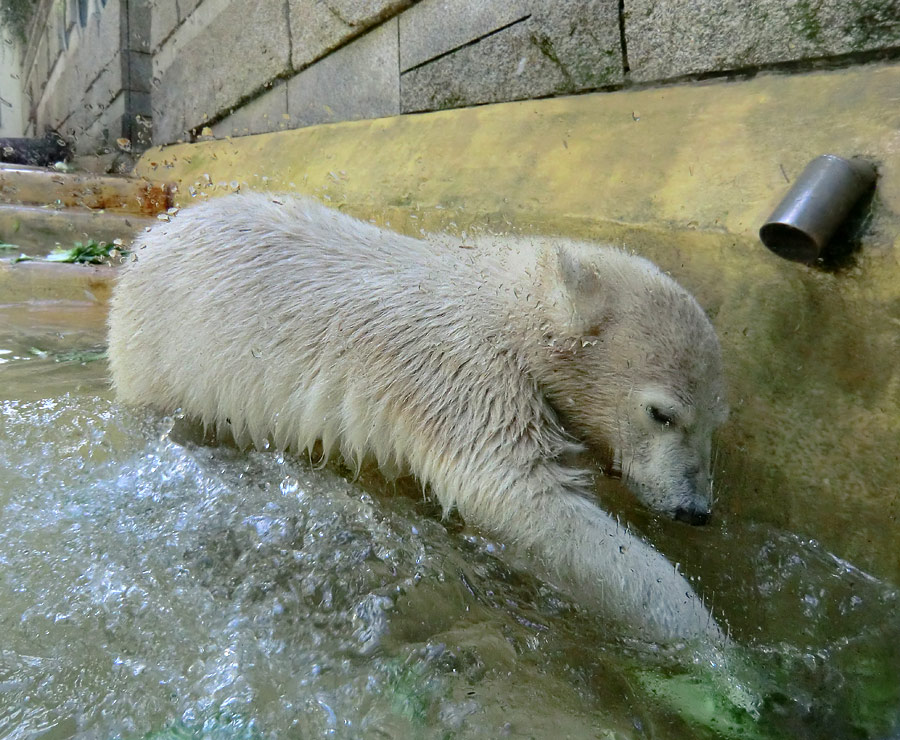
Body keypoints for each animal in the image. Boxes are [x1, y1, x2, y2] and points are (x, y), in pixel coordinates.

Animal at [109, 194, 732, 644]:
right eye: (662, 414)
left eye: (716, 420)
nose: (695, 510)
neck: (507, 294)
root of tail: (150, 238)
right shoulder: (463, 373)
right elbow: (519, 495)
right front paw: (721, 659)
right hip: (161, 351)